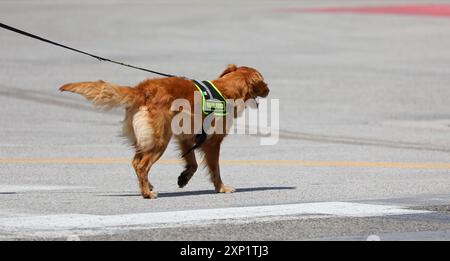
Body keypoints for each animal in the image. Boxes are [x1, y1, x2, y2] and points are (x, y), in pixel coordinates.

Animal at [61, 64, 268, 198]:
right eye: (263, 81)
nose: (269, 90)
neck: (226, 89)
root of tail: (142, 90)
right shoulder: (212, 142)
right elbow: (215, 169)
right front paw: (221, 188)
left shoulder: (186, 137)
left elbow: (192, 163)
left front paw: (184, 178)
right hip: (159, 141)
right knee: (141, 165)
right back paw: (147, 193)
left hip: (150, 139)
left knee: (136, 161)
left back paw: (147, 186)